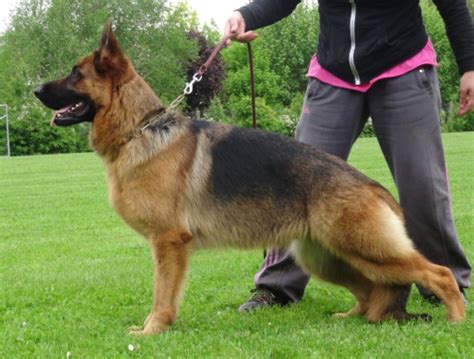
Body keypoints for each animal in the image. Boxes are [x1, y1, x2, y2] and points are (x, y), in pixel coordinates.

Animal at [34, 21, 466, 336]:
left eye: (74, 73)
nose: (35, 89)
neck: (140, 130)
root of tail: (374, 187)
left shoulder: (168, 244)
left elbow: (162, 296)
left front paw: (152, 331)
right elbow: (164, 294)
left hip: (366, 250)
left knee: (439, 274)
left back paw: (457, 320)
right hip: (328, 257)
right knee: (372, 290)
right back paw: (352, 316)